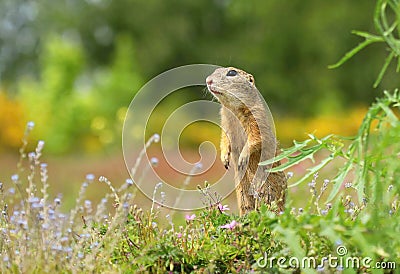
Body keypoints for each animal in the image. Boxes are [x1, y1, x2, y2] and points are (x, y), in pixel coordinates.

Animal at [206, 66, 288, 214]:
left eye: (232, 72)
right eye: (215, 70)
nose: (208, 80)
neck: (233, 109)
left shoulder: (256, 118)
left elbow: (256, 137)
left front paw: (242, 159)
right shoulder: (225, 122)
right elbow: (224, 139)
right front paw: (224, 159)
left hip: (266, 192)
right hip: (242, 192)